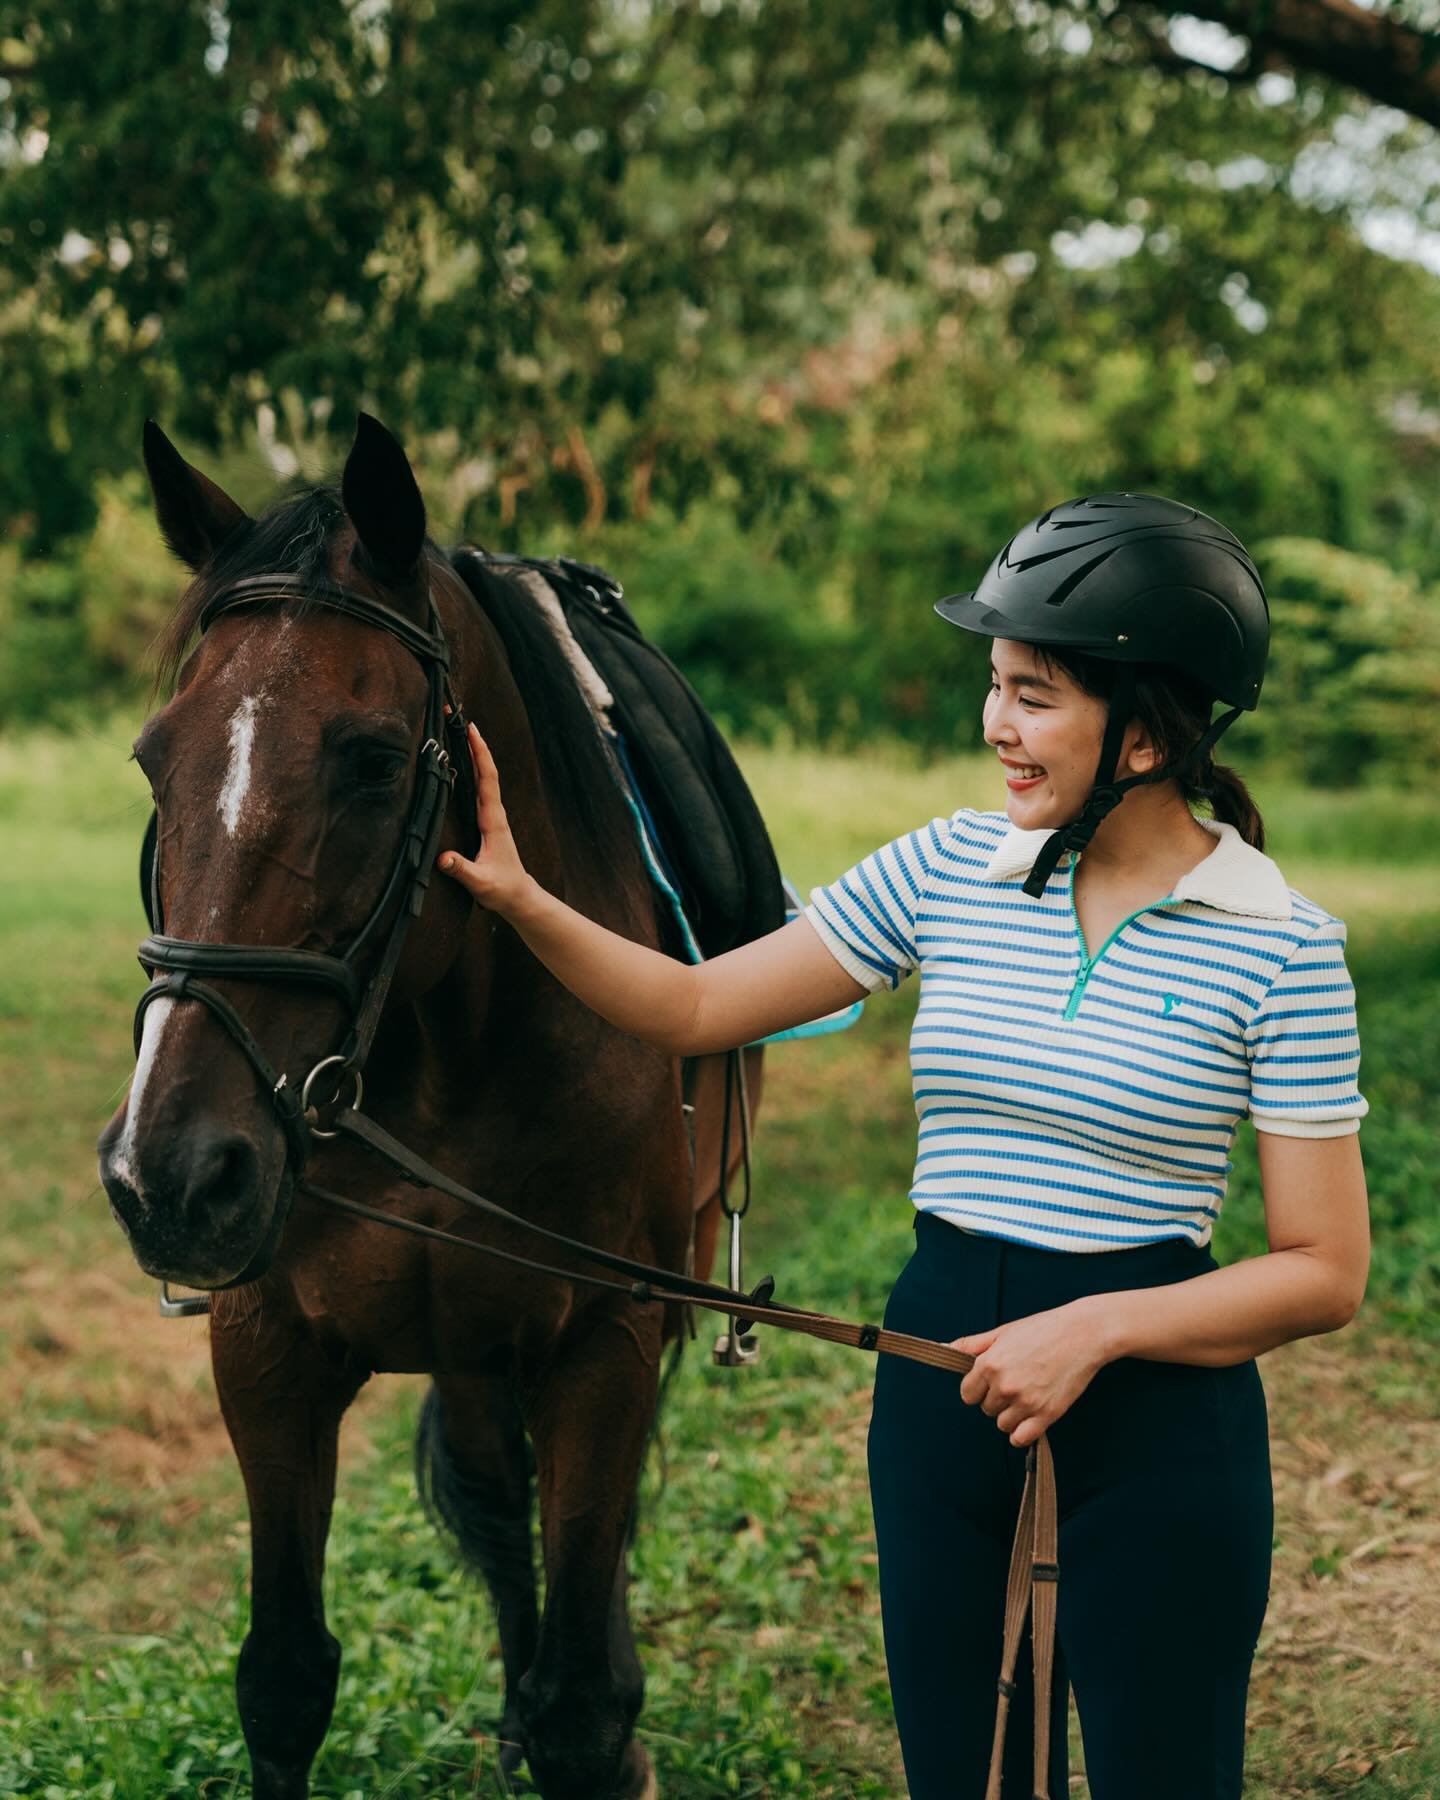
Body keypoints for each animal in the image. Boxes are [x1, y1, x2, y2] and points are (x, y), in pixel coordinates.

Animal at [95, 417, 770, 1800]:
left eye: (369, 758)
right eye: (153, 759)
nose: (171, 1177)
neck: (440, 1042)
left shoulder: (604, 1340)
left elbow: (583, 1702)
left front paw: (597, 1720)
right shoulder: (267, 1350)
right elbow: (284, 1680)